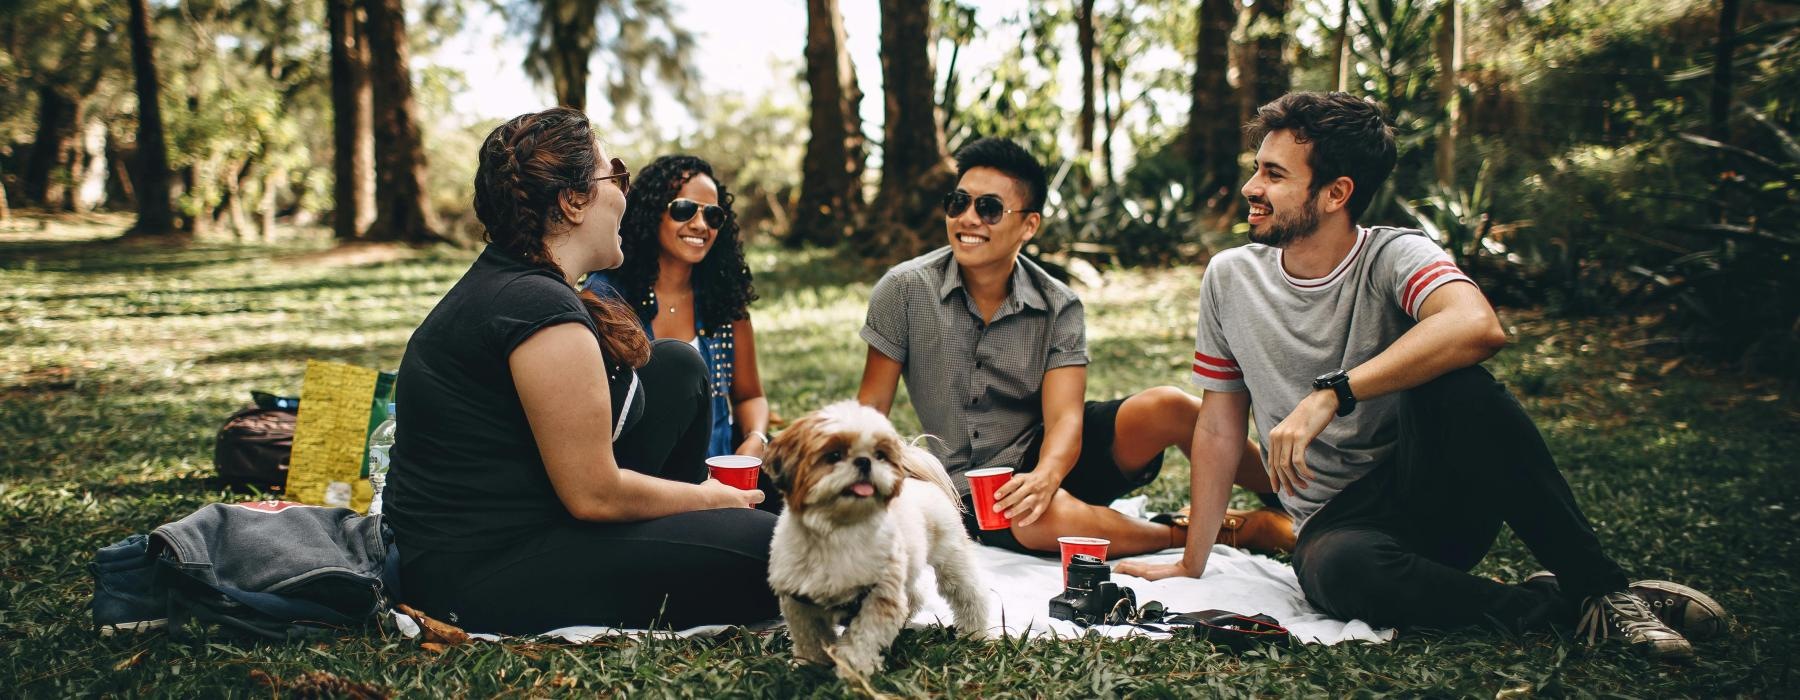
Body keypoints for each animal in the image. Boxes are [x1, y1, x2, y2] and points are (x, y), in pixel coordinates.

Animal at [756, 401, 986, 680]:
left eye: (880, 455)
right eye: (834, 455)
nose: (864, 461)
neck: (838, 531)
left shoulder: (879, 597)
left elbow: (863, 639)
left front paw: (853, 670)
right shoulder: (800, 602)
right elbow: (810, 639)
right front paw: (809, 666)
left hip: (951, 558)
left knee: (969, 594)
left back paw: (975, 632)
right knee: (914, 595)